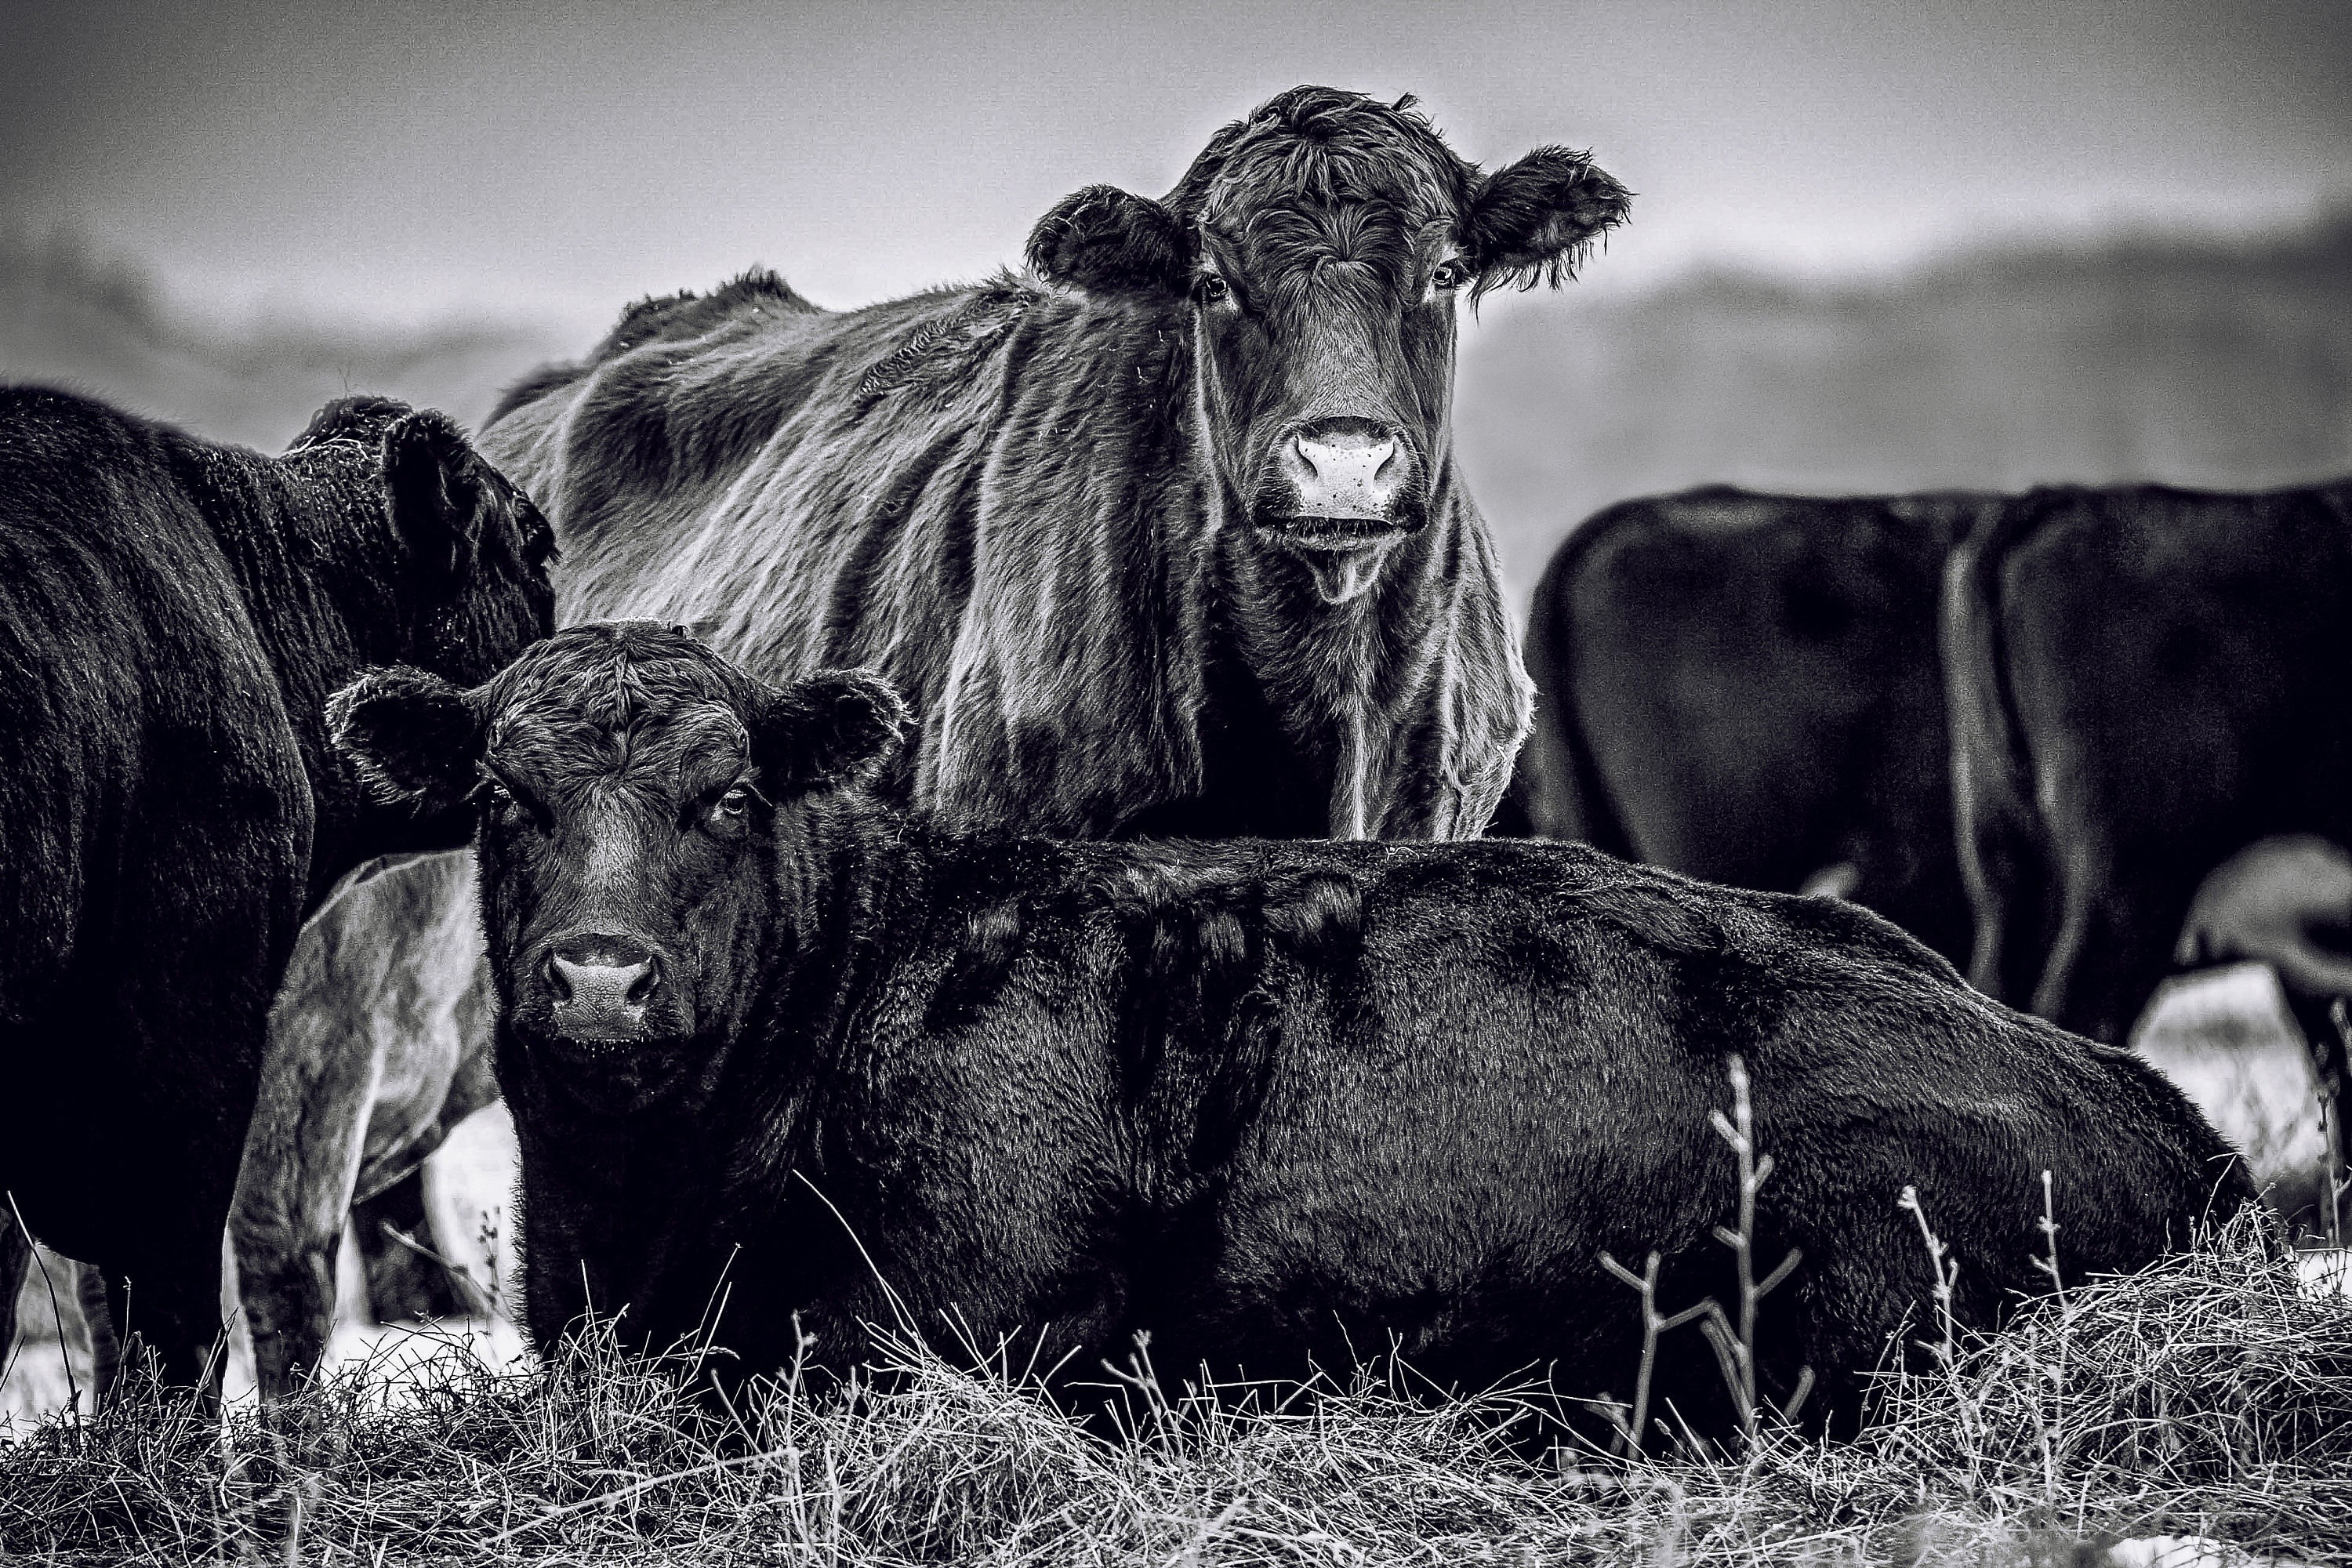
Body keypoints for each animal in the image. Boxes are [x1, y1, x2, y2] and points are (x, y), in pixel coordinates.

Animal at [231, 84, 1632, 1400]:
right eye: (1213, 281)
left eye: (1443, 270)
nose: (1344, 463)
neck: (1306, 712)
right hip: (333, 1019)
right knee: (284, 1248)